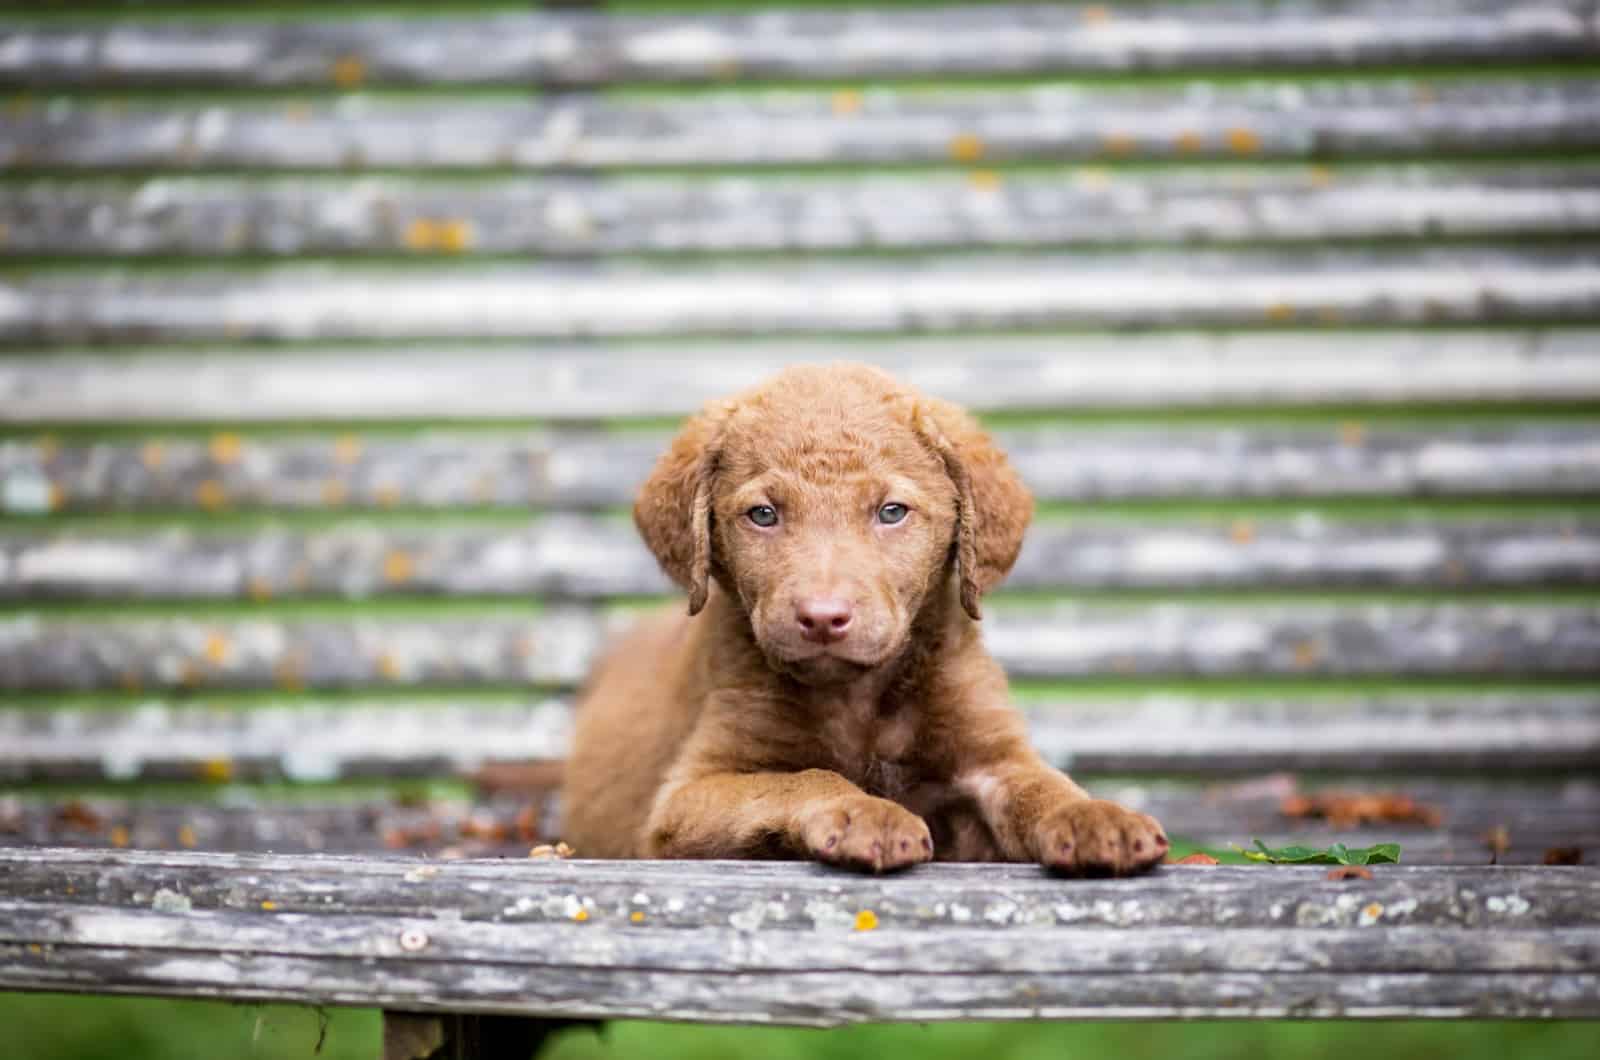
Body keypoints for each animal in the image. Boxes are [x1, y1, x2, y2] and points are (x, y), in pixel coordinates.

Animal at [560, 365, 1164, 877]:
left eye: (891, 511)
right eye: (763, 514)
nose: (823, 618)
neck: (856, 698)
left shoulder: (994, 756)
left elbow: (1042, 787)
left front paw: (1095, 817)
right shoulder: (685, 797)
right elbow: (802, 778)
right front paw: (865, 814)